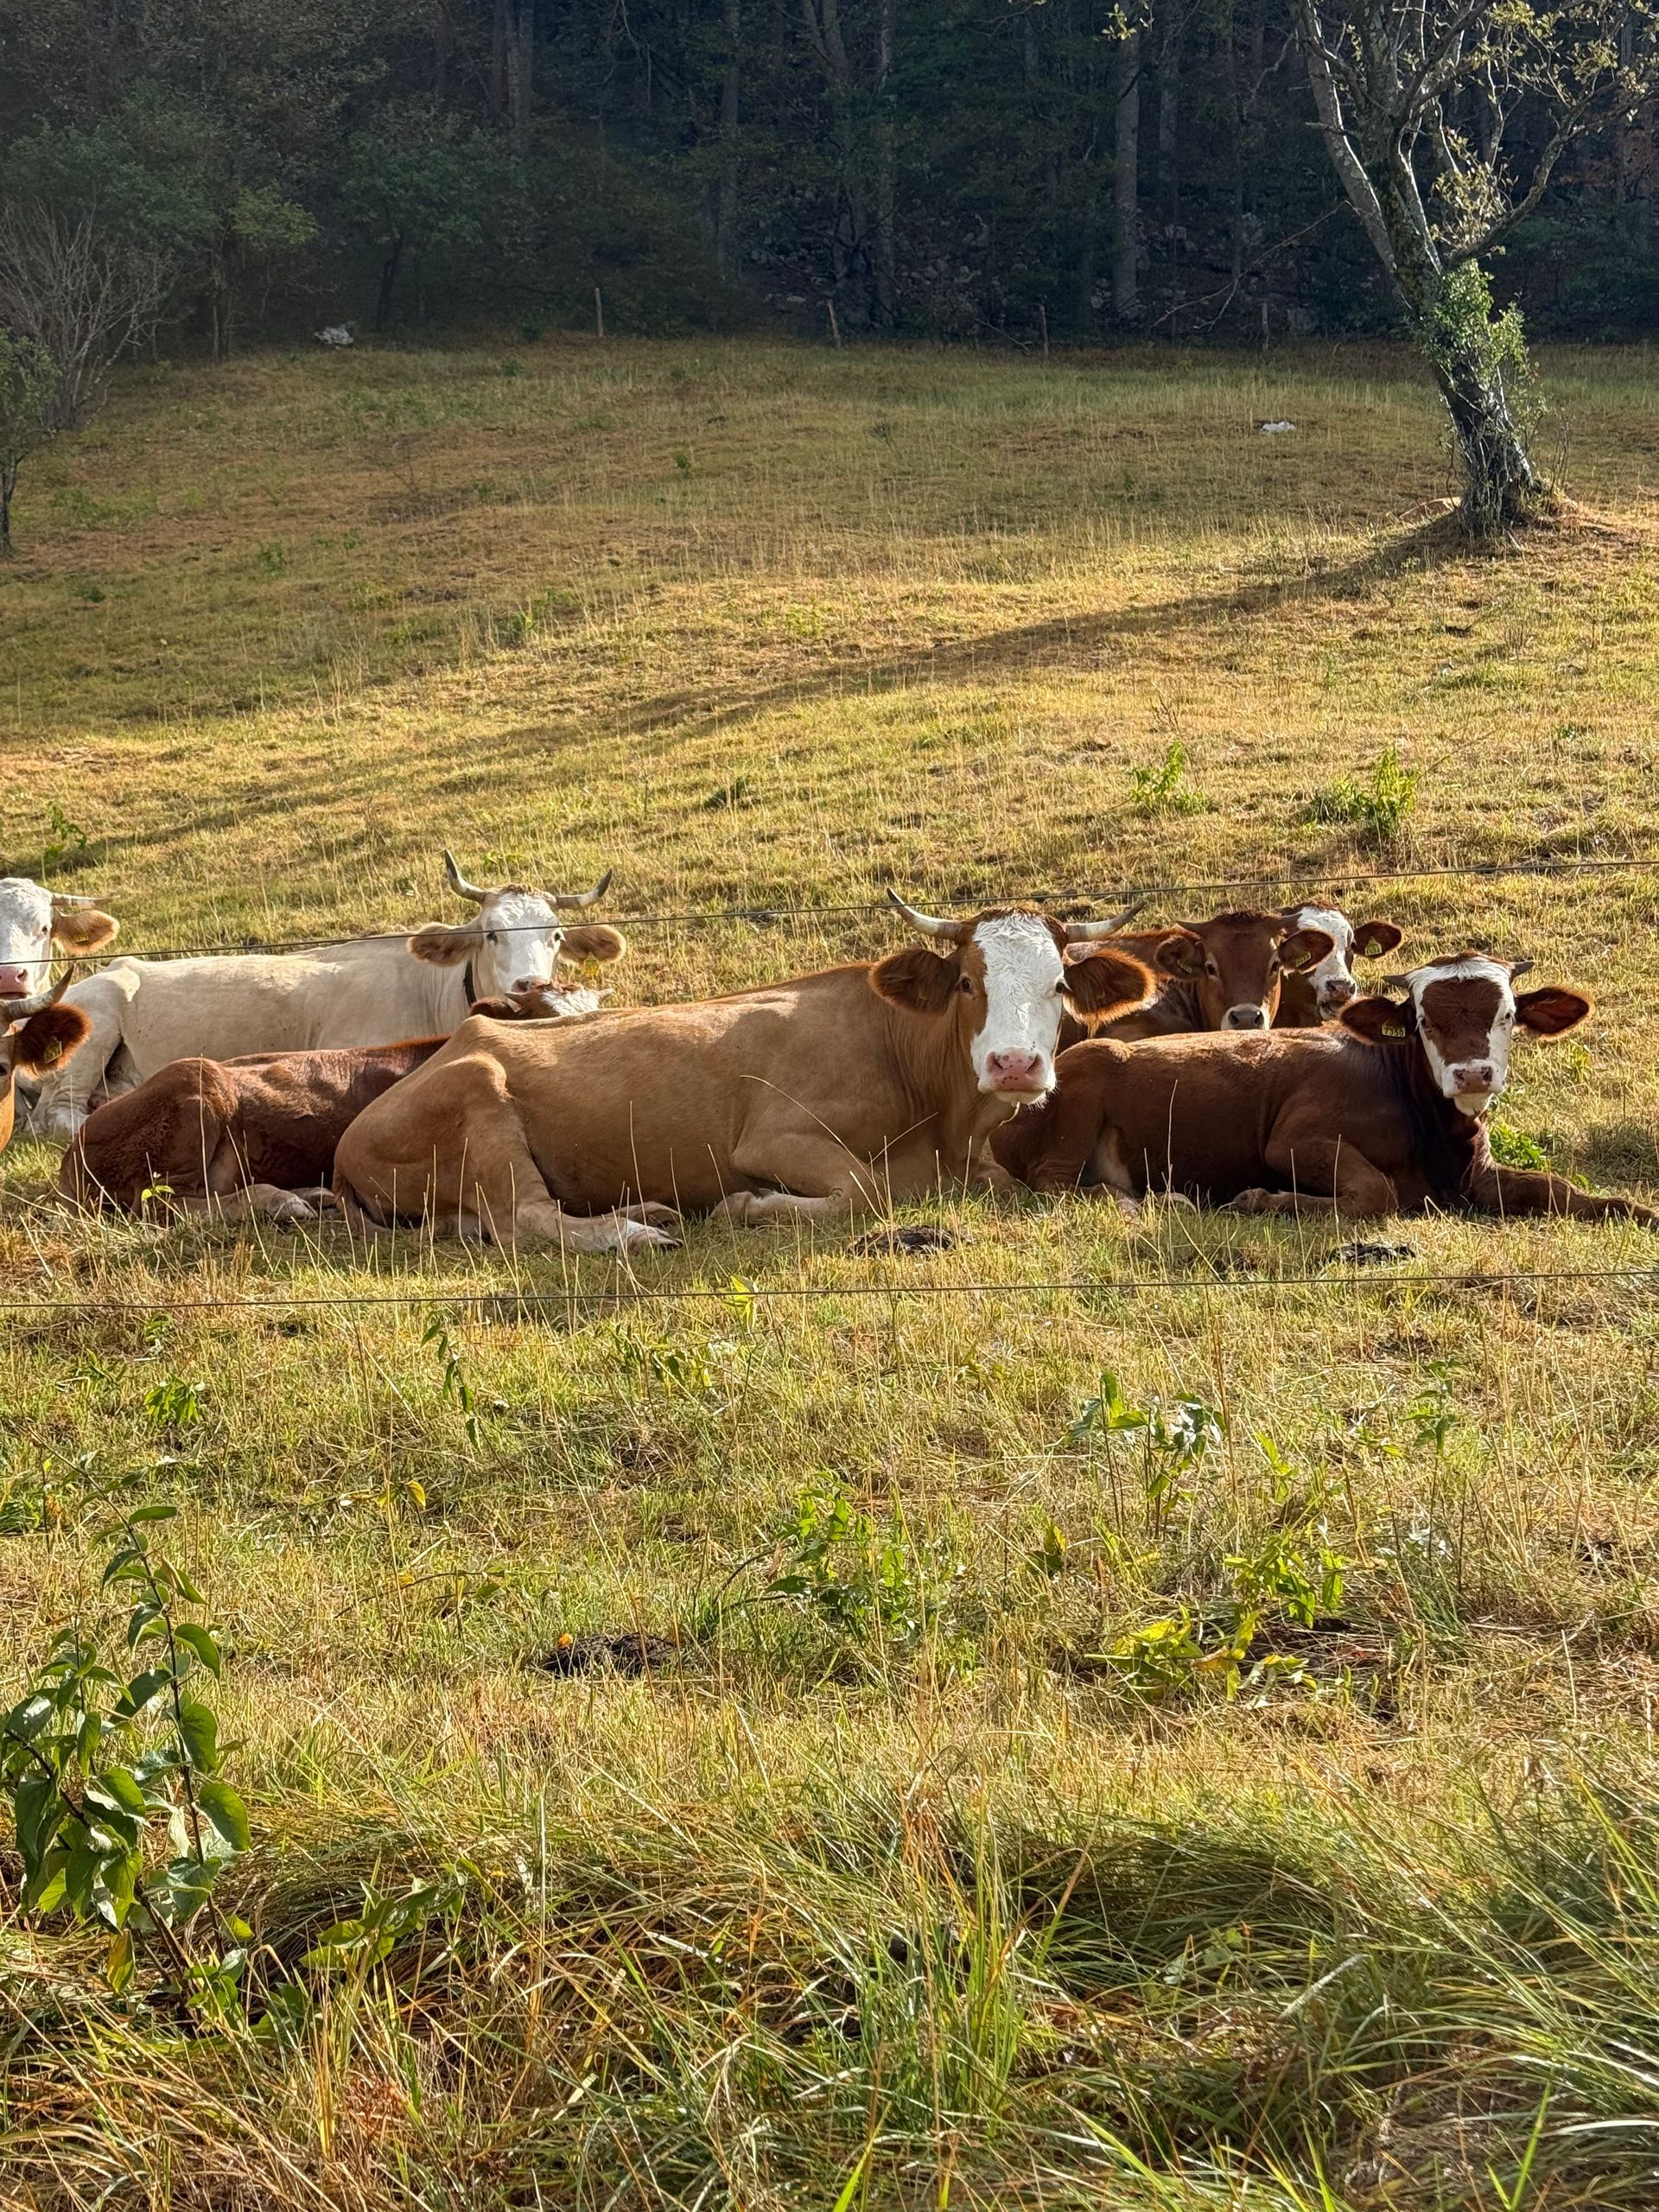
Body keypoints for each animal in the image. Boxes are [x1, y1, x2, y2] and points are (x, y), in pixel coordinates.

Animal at [332, 892, 1157, 1252]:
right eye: (966, 982)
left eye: (1058, 984)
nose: (1014, 1065)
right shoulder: (774, 1137)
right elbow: (865, 1191)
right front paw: (749, 1206)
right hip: (481, 1095)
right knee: (525, 1220)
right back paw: (634, 1230)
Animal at [992, 952, 1659, 1227]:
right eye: (1423, 1020)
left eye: (1508, 1014)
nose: (1473, 1075)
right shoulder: (1295, 1139)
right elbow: (1376, 1193)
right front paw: (1263, 1201)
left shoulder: (1476, 1172)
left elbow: (1556, 1188)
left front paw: (1635, 1211)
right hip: (1086, 1085)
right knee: (1056, 1182)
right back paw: (1157, 1202)